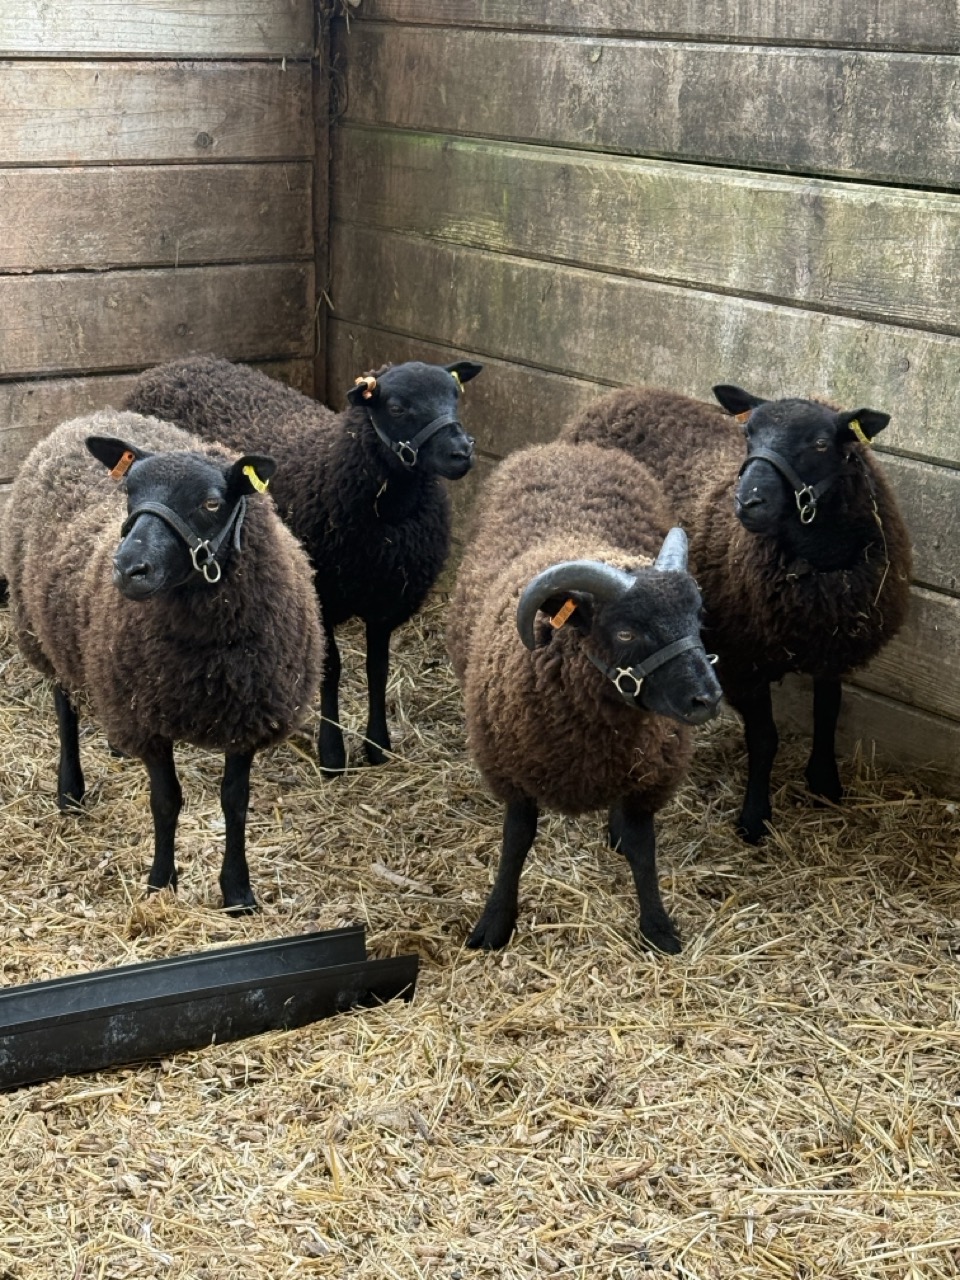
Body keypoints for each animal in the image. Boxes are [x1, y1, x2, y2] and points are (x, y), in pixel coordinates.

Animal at [1, 410, 324, 912]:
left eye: (212, 503)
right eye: (129, 492)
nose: (129, 568)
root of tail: (86, 416)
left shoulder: (248, 715)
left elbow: (236, 802)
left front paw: (238, 892)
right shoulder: (148, 721)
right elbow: (166, 800)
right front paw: (160, 882)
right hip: (40, 629)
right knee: (64, 707)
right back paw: (70, 790)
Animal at [125, 355, 482, 776]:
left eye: (455, 395)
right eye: (397, 407)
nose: (461, 453)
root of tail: (174, 364)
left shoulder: (386, 599)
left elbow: (378, 668)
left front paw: (378, 746)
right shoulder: (321, 596)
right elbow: (332, 669)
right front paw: (332, 755)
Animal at [447, 441, 722, 954]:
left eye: (697, 617)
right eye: (626, 631)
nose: (707, 699)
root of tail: (566, 447)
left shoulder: (648, 777)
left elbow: (643, 848)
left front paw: (658, 928)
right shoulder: (510, 769)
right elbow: (516, 841)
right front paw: (495, 923)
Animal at [562, 384, 912, 843]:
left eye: (821, 443)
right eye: (748, 434)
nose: (748, 502)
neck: (816, 560)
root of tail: (620, 395)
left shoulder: (831, 645)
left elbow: (827, 713)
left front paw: (825, 785)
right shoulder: (744, 663)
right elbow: (765, 739)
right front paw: (754, 818)